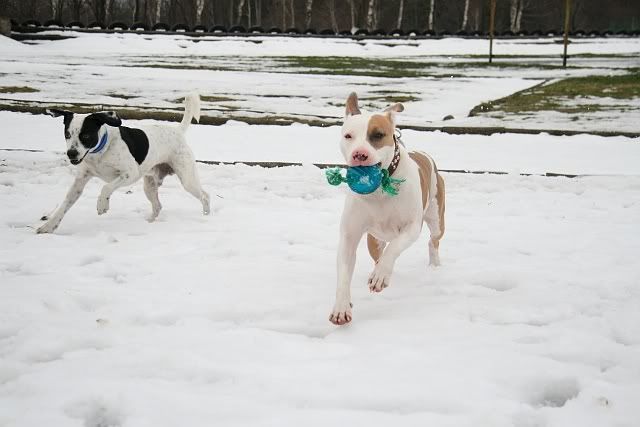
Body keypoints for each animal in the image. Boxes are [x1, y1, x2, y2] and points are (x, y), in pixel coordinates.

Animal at [37, 93, 210, 234]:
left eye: (85, 135)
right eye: (67, 134)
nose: (71, 153)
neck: (101, 151)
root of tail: (177, 131)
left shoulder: (130, 174)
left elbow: (106, 187)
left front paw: (102, 205)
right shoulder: (80, 181)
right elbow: (65, 204)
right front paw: (48, 226)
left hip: (187, 179)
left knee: (205, 196)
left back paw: (206, 217)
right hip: (149, 185)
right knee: (158, 206)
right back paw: (150, 223)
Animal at [329, 92, 446, 325]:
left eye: (378, 135)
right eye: (348, 136)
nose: (360, 154)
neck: (380, 188)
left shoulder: (411, 227)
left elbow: (395, 248)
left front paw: (381, 275)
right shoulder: (349, 236)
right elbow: (344, 273)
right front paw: (341, 307)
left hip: (437, 218)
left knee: (433, 240)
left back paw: (433, 266)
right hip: (374, 239)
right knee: (378, 253)